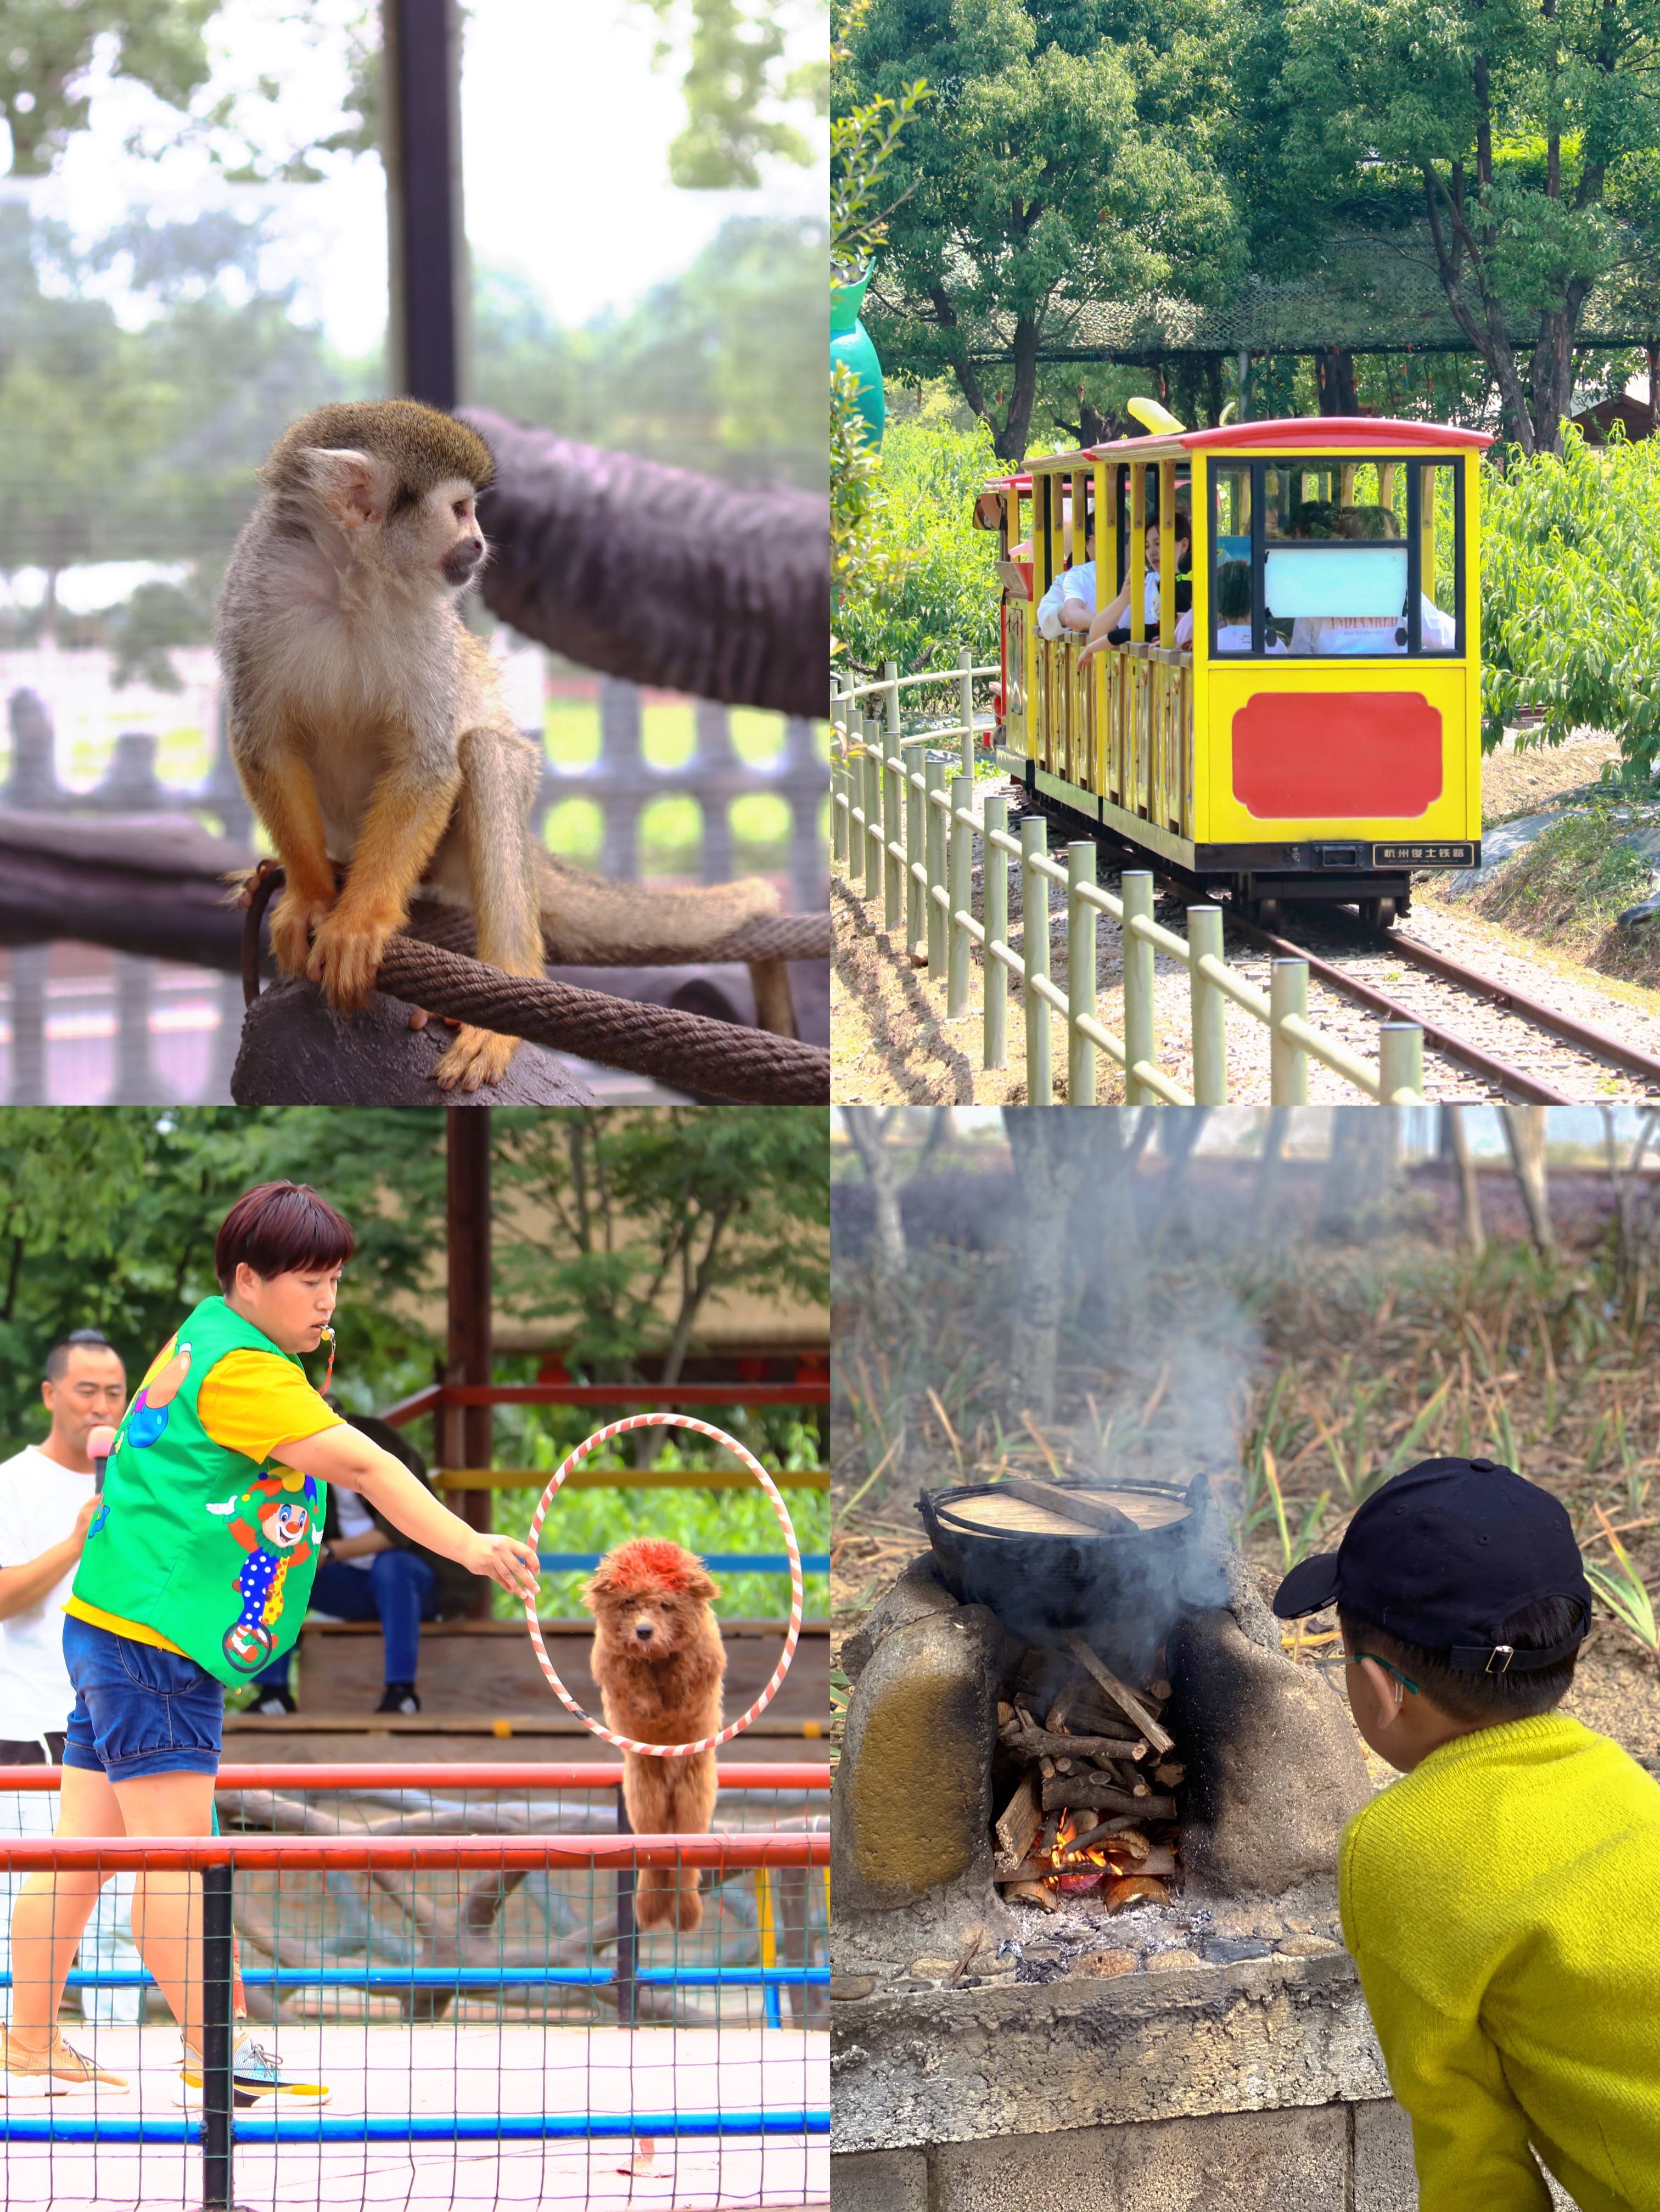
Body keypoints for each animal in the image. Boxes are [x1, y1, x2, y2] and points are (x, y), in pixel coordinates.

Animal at [218, 402, 783, 1092]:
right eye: (462, 510)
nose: (480, 543)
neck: (349, 581)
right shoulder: (257, 592)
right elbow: (264, 742)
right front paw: (309, 897)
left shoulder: (426, 625)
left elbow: (429, 762)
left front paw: (357, 922)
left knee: (487, 753)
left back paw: (505, 989)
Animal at [584, 1539, 726, 1938]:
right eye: (628, 1602)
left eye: (666, 1604)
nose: (644, 1631)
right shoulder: (615, 1664)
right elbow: (633, 1677)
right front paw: (649, 1704)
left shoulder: (701, 1657)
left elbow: (686, 1671)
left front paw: (671, 1692)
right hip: (644, 1793)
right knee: (654, 1851)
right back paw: (653, 1909)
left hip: (695, 1793)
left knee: (686, 1857)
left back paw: (682, 1914)